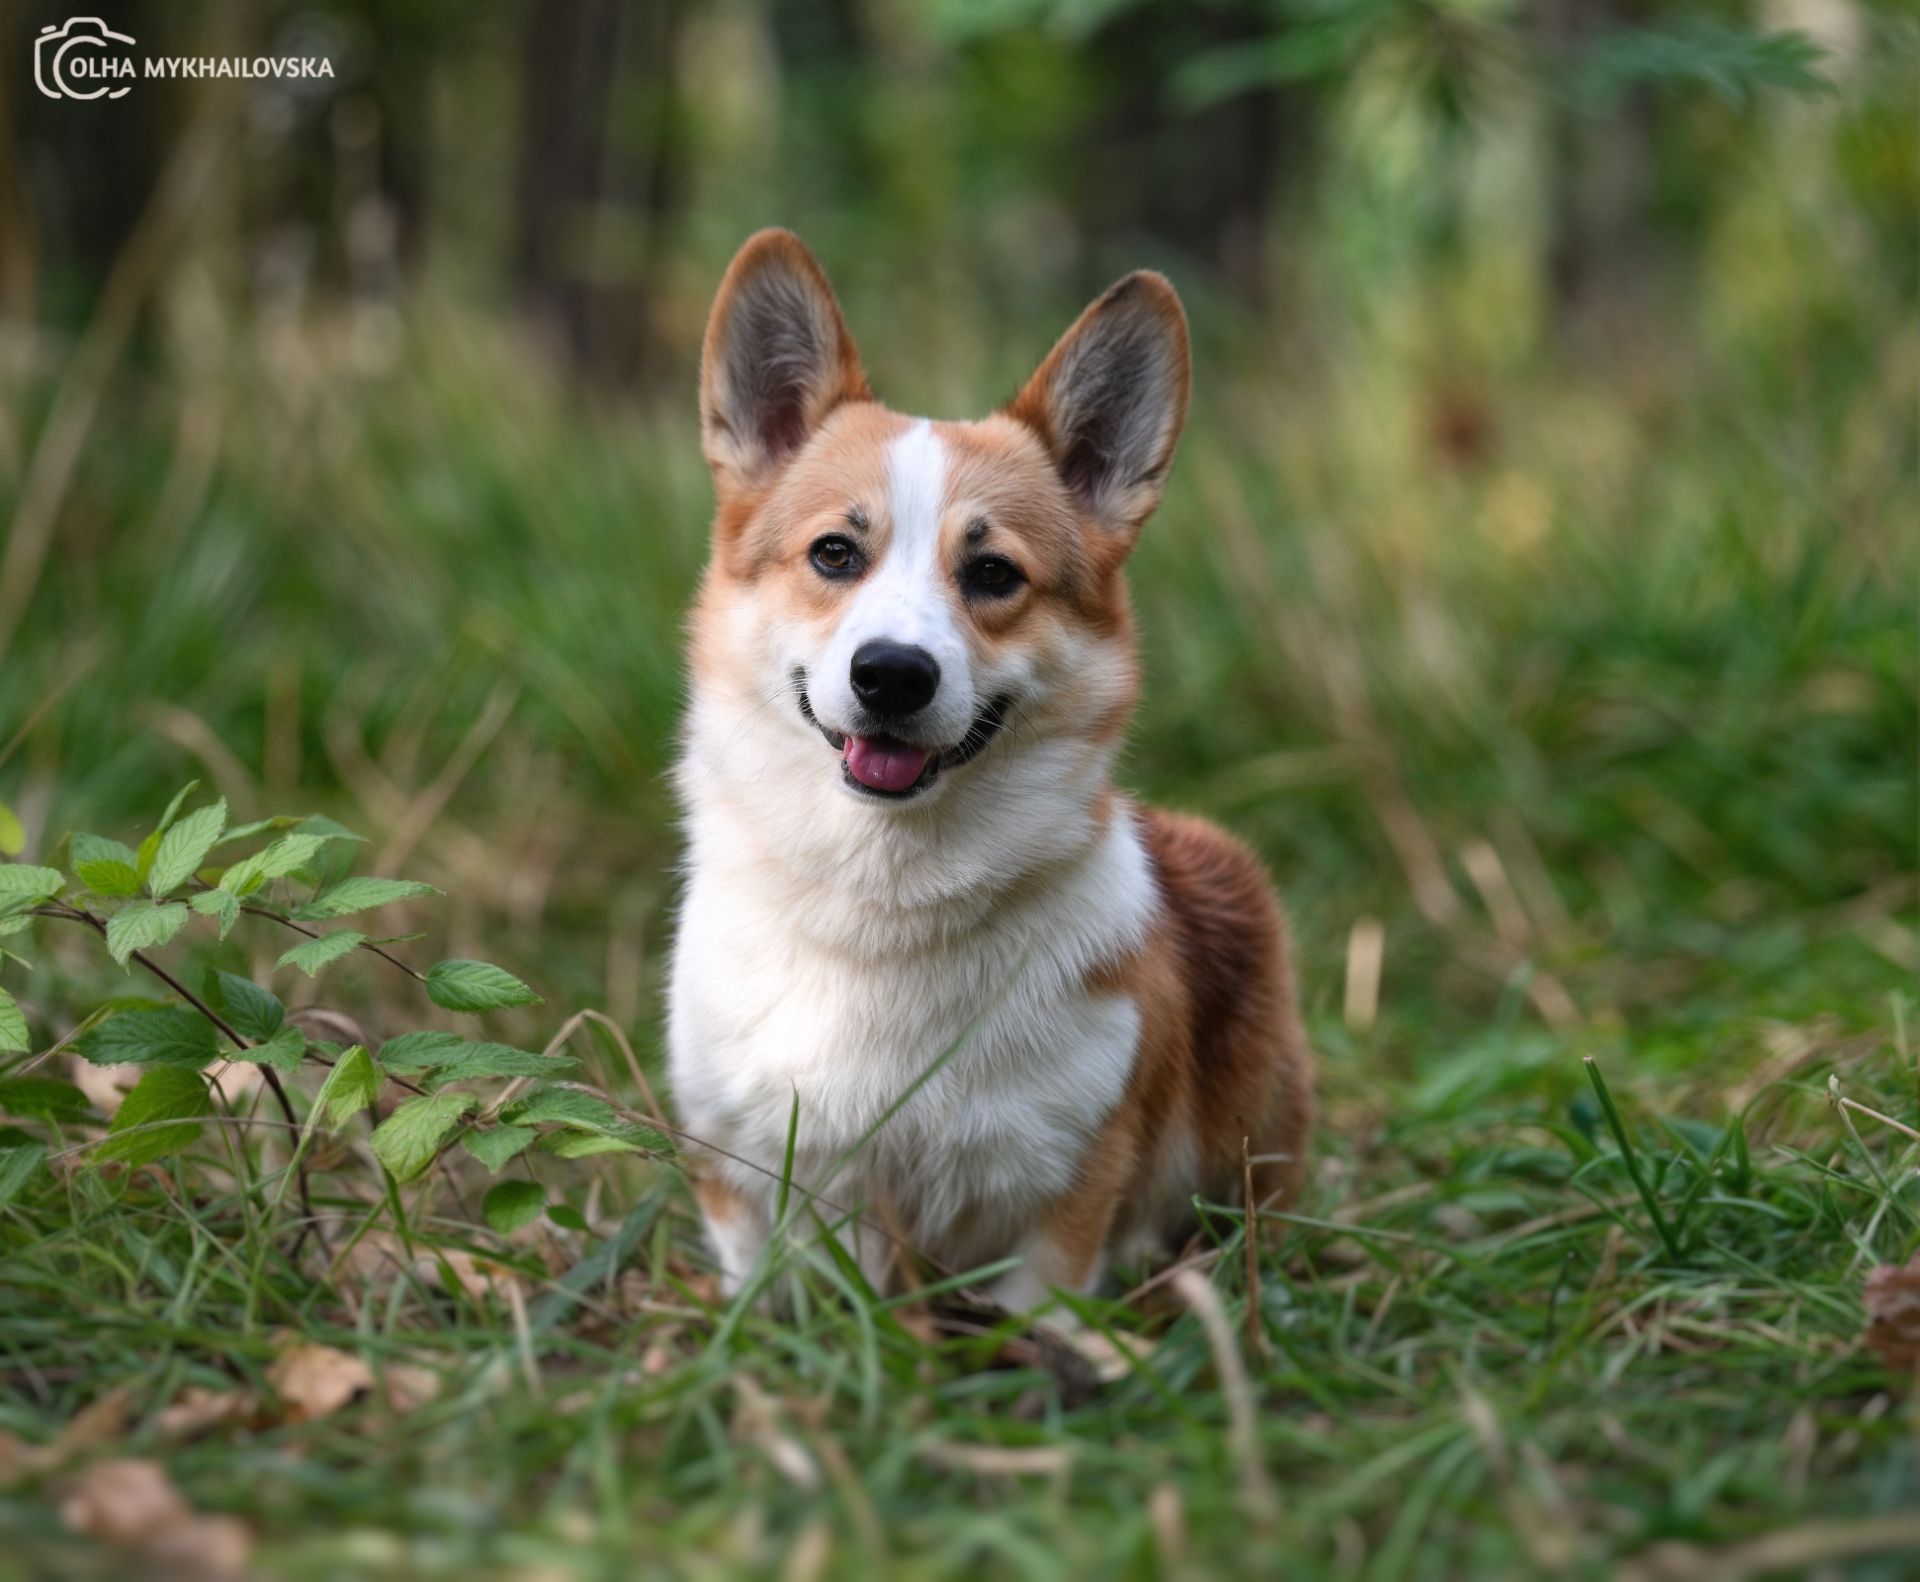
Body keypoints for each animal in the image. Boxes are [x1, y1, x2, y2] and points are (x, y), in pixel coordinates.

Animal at [668, 228, 1313, 1313]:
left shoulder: (1061, 1194)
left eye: (993, 574)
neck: (882, 907)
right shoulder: (743, 1167)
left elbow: (1038, 1314)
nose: (892, 674)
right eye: (834, 553)